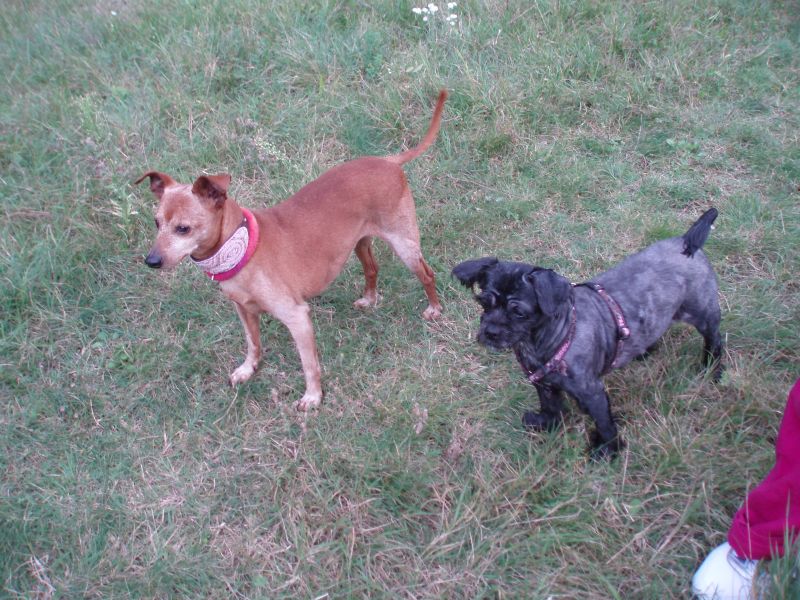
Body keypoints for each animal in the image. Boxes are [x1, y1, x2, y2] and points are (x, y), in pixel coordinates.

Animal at [136, 91, 447, 411]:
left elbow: (309, 364)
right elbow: (253, 343)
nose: (151, 260)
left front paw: (313, 397)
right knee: (372, 268)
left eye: (183, 229)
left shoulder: (297, 317)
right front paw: (248, 369)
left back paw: (434, 309)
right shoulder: (244, 310)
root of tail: (387, 160)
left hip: (404, 245)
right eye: (156, 223)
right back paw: (370, 299)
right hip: (359, 243)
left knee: (427, 274)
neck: (242, 247)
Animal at [452, 208, 722, 458]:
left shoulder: (592, 392)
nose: (490, 332)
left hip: (704, 315)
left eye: (518, 312)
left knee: (715, 341)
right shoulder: (544, 385)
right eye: (484, 303)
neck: (547, 340)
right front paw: (546, 424)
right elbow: (551, 407)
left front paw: (608, 450)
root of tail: (686, 243)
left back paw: (713, 369)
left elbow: (604, 424)